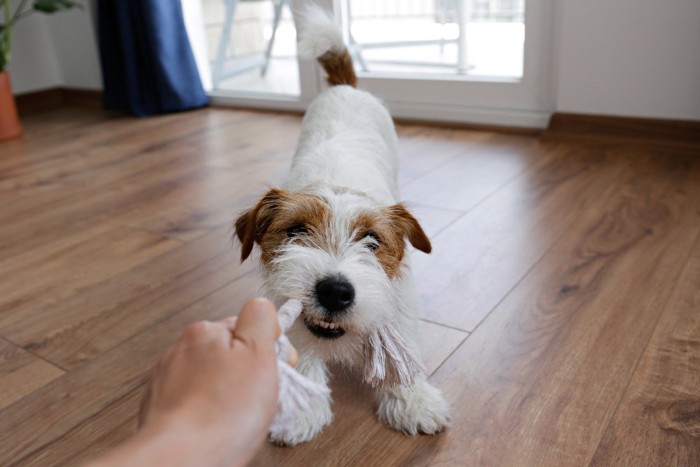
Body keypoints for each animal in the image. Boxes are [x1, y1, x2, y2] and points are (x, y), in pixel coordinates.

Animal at [235, 4, 452, 450]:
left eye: (372, 240)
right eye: (295, 230)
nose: (335, 291)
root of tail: (344, 86)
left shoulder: (399, 300)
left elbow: (403, 346)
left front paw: (413, 399)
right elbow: (301, 348)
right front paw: (302, 406)